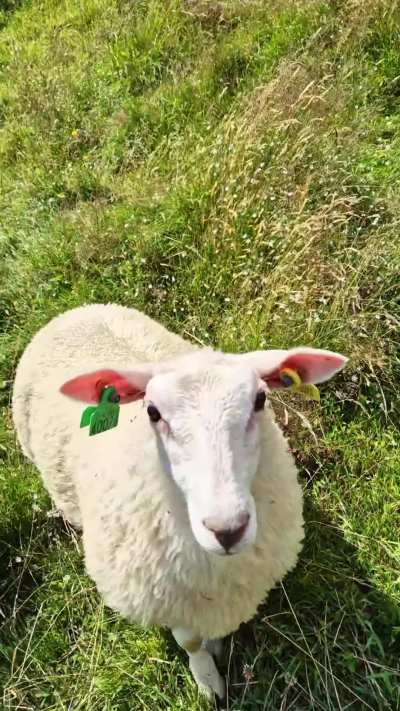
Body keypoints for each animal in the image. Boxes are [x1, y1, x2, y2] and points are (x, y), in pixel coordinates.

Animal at [12, 303, 347, 703]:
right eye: (152, 412)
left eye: (260, 400)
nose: (227, 529)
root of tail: (79, 309)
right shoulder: (168, 600)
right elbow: (190, 643)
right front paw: (207, 681)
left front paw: (216, 647)